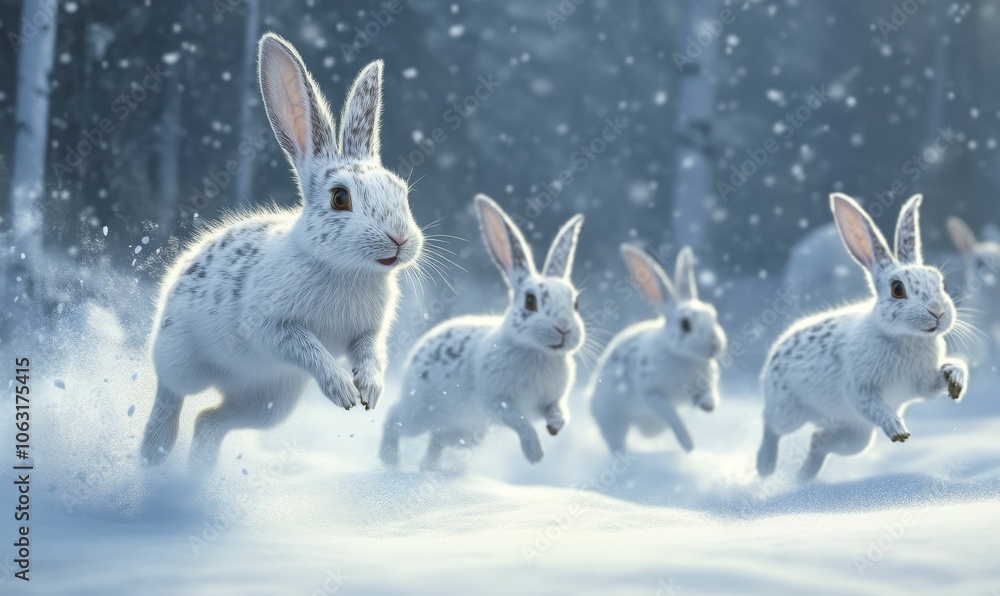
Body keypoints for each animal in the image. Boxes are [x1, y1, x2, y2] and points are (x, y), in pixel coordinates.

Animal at [140, 33, 423, 467]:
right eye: (340, 198)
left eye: (400, 191)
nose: (400, 240)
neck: (345, 269)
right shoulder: (272, 326)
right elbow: (306, 346)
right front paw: (344, 391)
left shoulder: (366, 334)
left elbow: (370, 353)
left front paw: (370, 392)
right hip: (181, 358)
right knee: (171, 393)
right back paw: (153, 453)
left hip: (269, 404)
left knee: (211, 421)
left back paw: (196, 472)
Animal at [379, 194, 584, 470]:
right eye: (530, 301)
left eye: (575, 304)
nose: (564, 329)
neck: (538, 352)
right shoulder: (498, 401)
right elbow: (521, 422)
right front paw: (535, 454)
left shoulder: (553, 401)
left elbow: (560, 413)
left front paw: (554, 428)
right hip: (420, 413)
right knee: (394, 418)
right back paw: (389, 461)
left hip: (462, 434)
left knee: (437, 440)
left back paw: (429, 470)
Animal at [588, 244, 727, 454]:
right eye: (685, 324)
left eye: (713, 315)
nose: (714, 345)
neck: (682, 356)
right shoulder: (652, 395)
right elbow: (672, 416)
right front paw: (688, 445)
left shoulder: (704, 384)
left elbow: (708, 395)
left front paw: (708, 405)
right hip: (612, 418)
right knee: (616, 440)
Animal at [757, 193, 968, 481]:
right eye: (897, 289)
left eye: (942, 283)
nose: (938, 313)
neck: (905, 338)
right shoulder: (859, 388)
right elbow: (872, 404)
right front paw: (898, 430)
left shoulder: (922, 383)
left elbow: (940, 380)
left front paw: (955, 379)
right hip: (789, 410)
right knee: (771, 425)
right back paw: (765, 467)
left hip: (856, 436)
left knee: (819, 440)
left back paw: (804, 478)